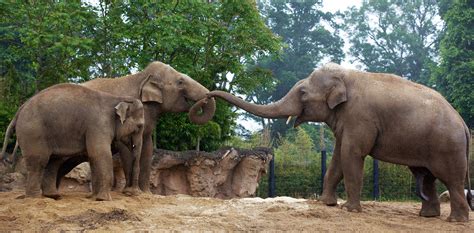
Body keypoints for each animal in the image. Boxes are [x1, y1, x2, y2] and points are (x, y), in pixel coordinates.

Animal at [0, 83, 144, 200]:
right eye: (139, 126)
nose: (132, 193)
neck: (118, 98)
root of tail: (20, 109)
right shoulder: (98, 125)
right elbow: (100, 154)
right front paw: (104, 199)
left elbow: (94, 157)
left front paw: (94, 198)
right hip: (33, 131)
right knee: (39, 161)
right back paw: (34, 198)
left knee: (53, 161)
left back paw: (53, 196)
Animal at [41, 60, 217, 195]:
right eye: (180, 82)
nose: (206, 98)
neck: (141, 77)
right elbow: (125, 147)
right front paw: (129, 192)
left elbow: (147, 148)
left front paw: (146, 193)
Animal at [202, 62, 472, 222]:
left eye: (302, 93)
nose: (205, 99)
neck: (346, 75)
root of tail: (463, 122)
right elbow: (337, 157)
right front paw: (327, 203)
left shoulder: (360, 117)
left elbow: (352, 154)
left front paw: (348, 209)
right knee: (425, 176)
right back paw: (428, 216)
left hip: (448, 147)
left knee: (451, 179)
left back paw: (455, 220)